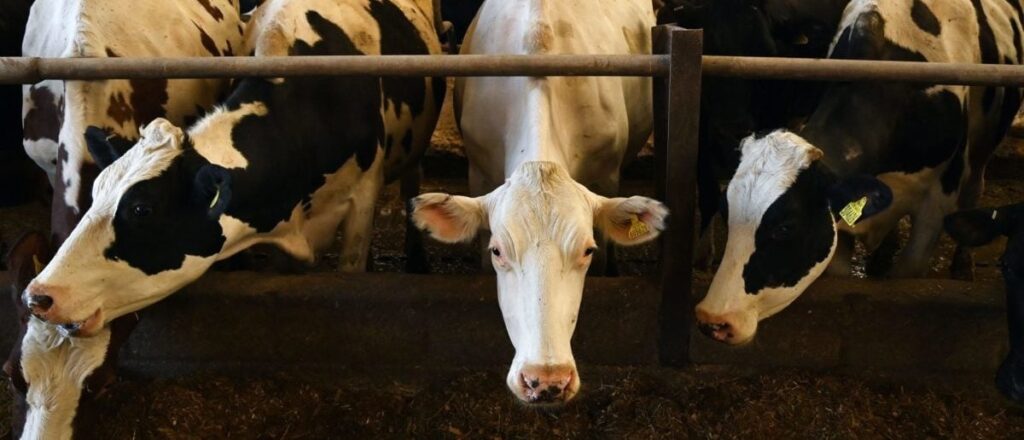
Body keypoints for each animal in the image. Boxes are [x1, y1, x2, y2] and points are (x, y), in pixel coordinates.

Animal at [696, 0, 1024, 345]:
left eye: (786, 227)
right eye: (726, 212)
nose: (713, 318)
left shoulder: (937, 204)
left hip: (982, 147)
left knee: (974, 188)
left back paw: (963, 263)